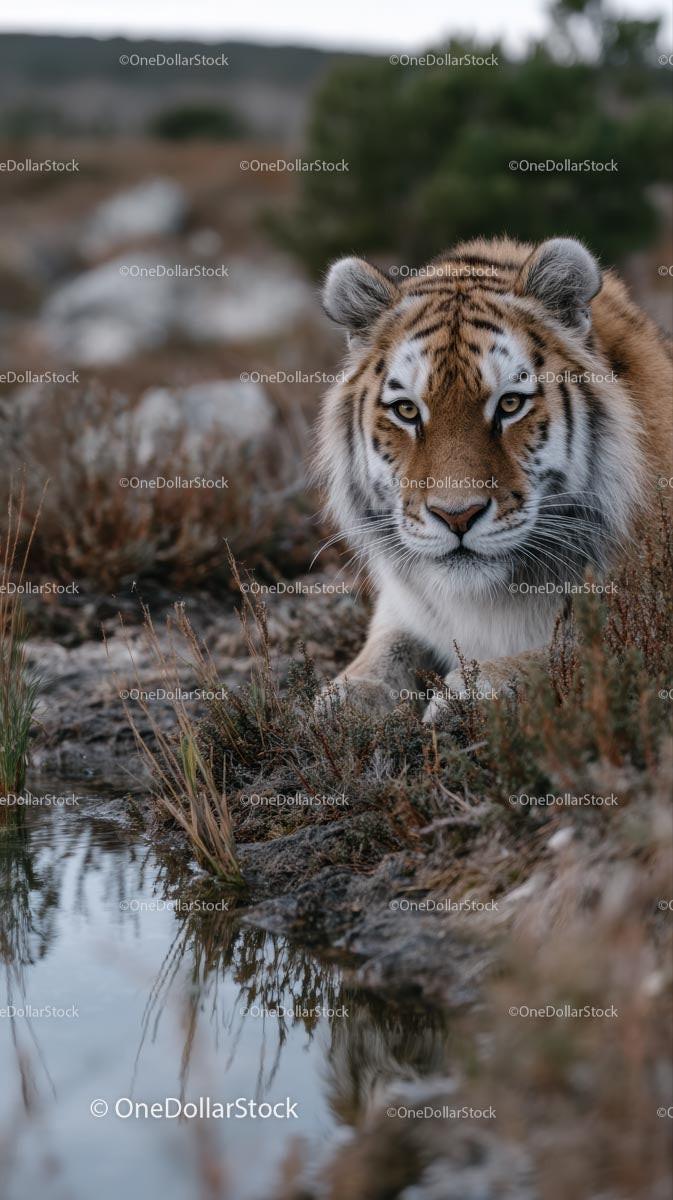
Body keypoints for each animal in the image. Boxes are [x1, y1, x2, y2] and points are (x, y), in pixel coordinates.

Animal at [315, 236, 673, 720]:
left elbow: (564, 656)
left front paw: (468, 694)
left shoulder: (644, 623)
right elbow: (385, 650)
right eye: (407, 410)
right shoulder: (403, 607)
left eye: (510, 404)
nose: (457, 516)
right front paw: (345, 700)